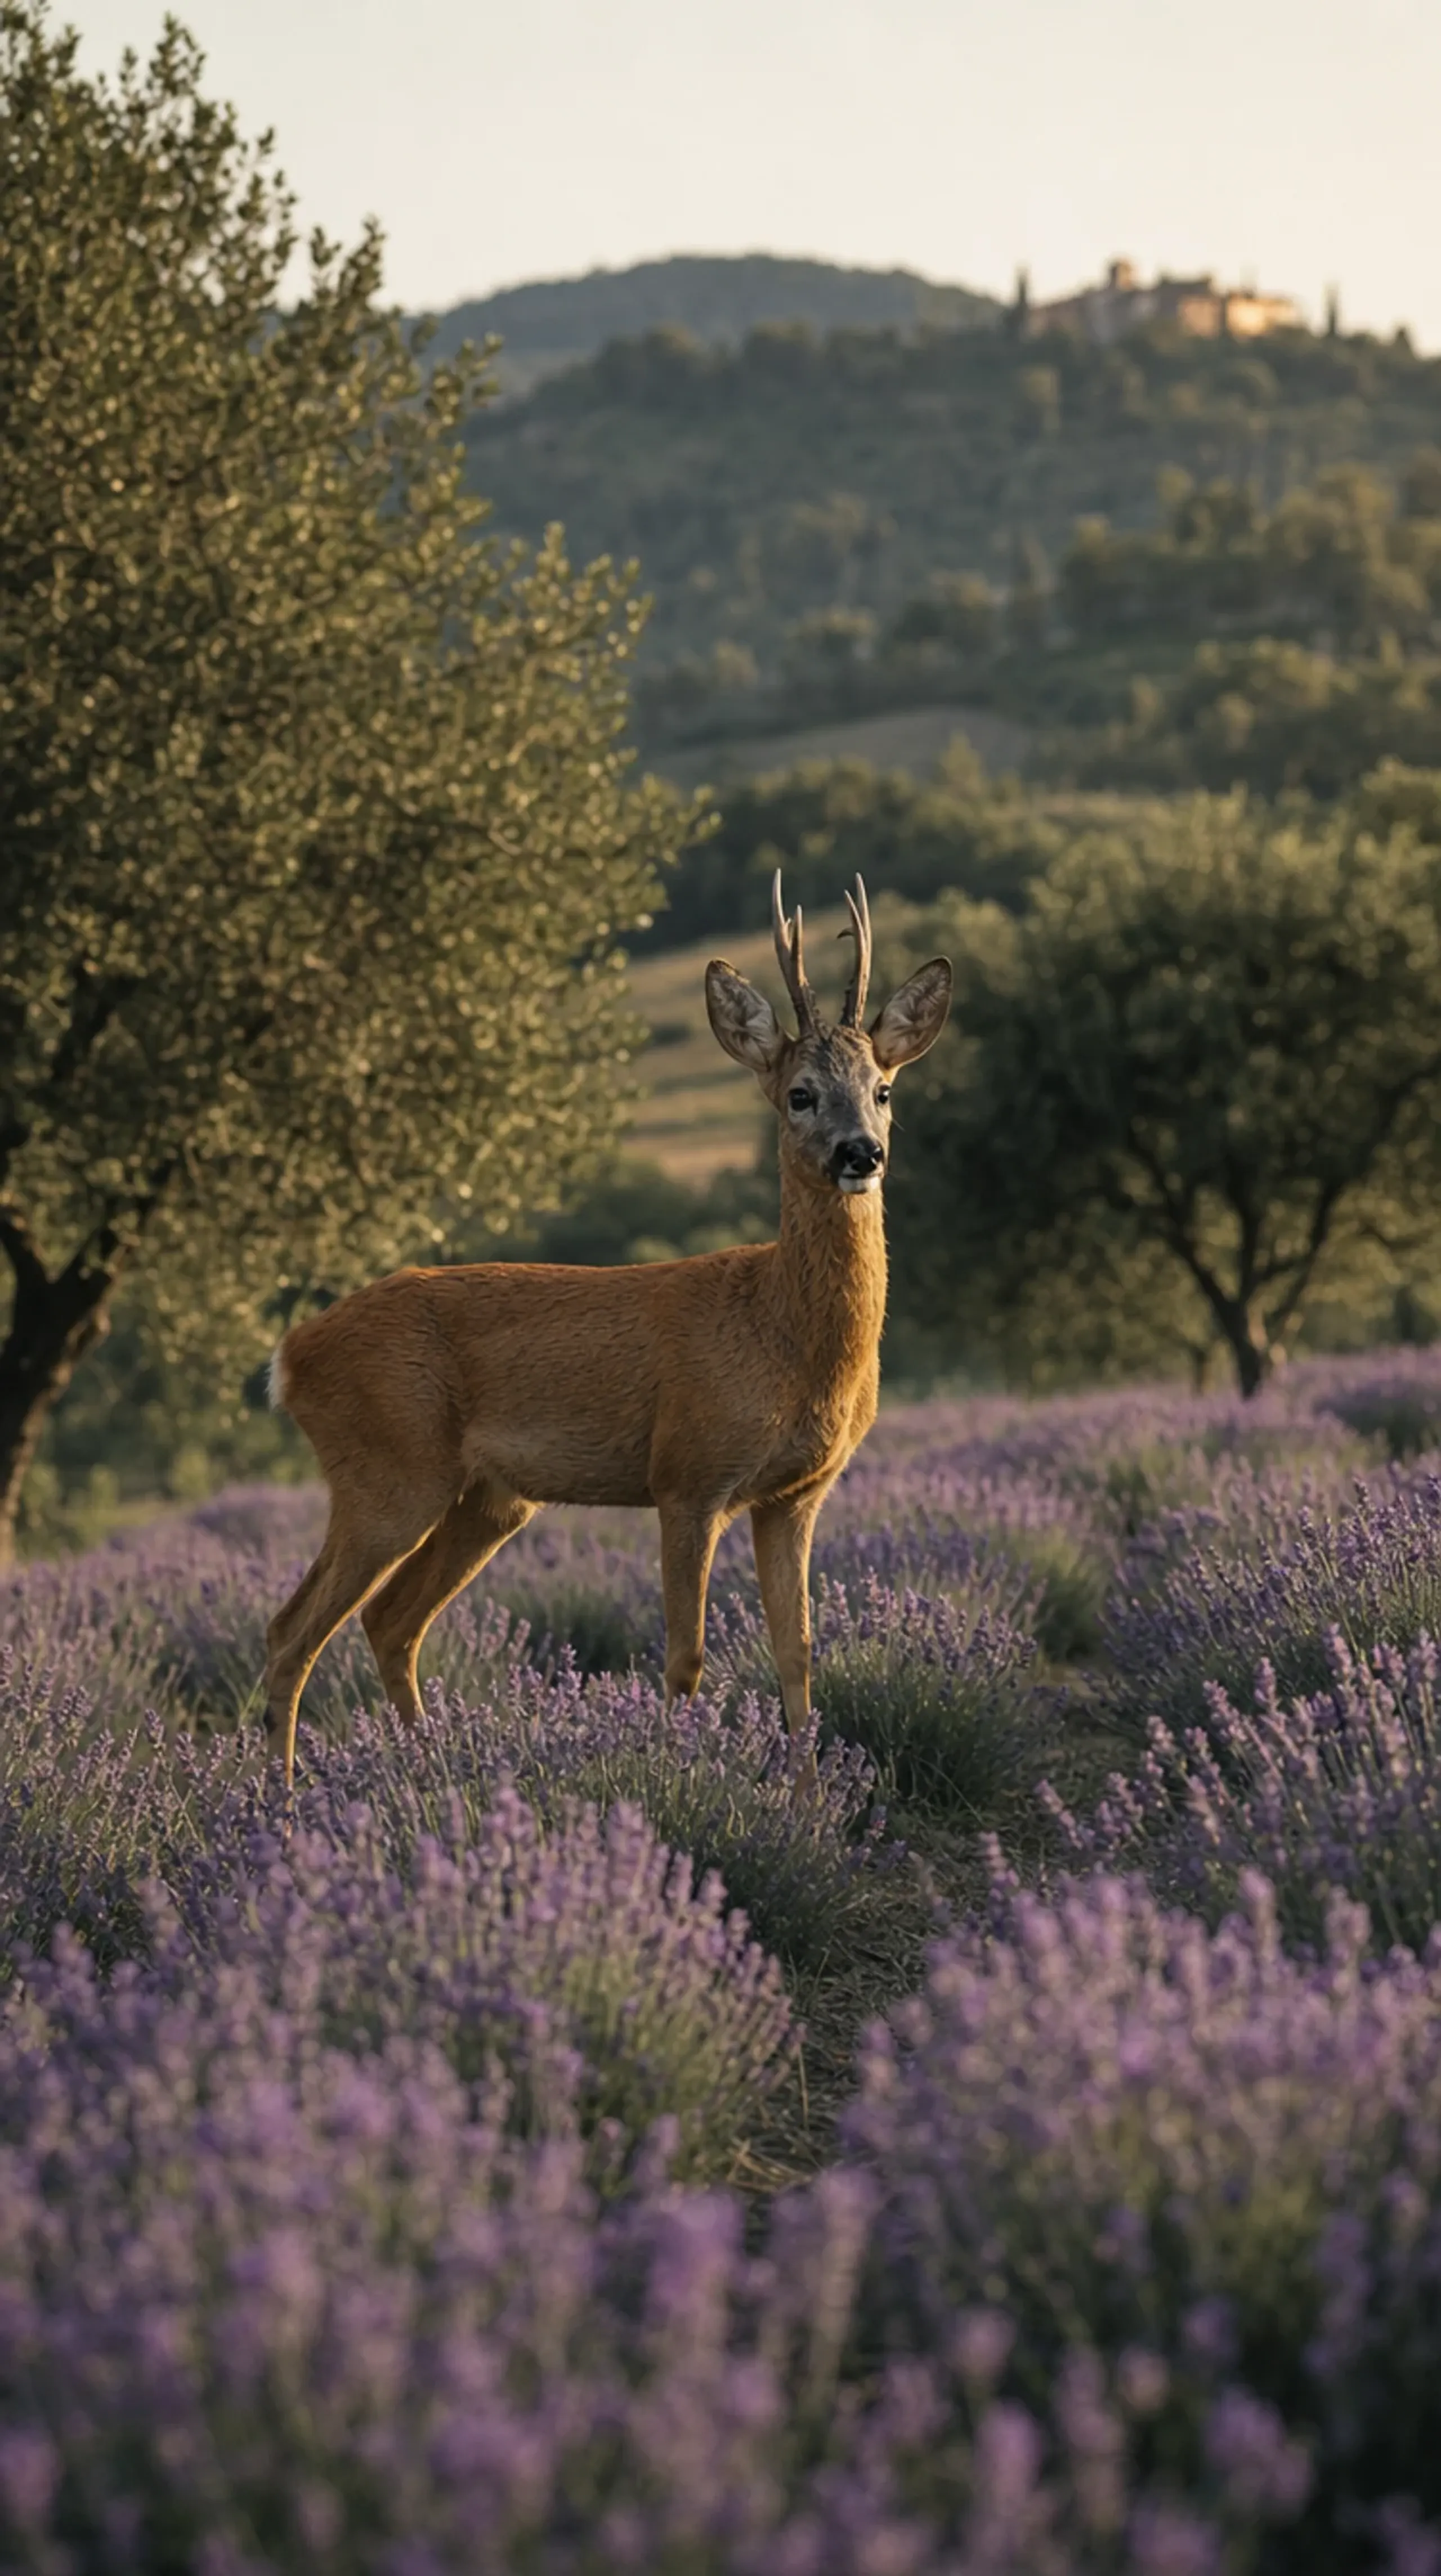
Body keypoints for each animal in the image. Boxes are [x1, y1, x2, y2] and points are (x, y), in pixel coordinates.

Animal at [263, 874, 952, 1788]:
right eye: (800, 1092)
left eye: (883, 1089)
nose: (860, 1153)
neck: (781, 1336)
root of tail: (290, 1356)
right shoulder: (688, 1474)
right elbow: (685, 1657)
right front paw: (674, 1780)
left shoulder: (796, 1494)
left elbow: (799, 1652)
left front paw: (810, 1804)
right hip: (387, 1469)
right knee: (293, 1631)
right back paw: (279, 1799)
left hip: (488, 1499)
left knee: (390, 1621)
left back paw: (431, 1772)